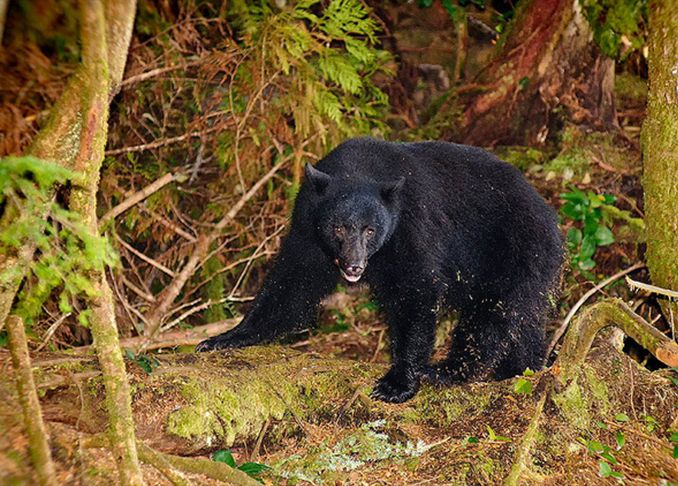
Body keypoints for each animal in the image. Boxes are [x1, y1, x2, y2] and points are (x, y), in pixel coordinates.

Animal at [197, 138, 563, 403]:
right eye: (338, 228)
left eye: (370, 230)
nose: (354, 265)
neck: (358, 169)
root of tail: (549, 215)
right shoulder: (307, 226)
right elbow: (293, 282)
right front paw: (225, 337)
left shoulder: (411, 227)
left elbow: (415, 291)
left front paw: (397, 383)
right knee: (522, 321)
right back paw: (524, 369)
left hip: (514, 251)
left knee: (492, 316)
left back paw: (448, 370)